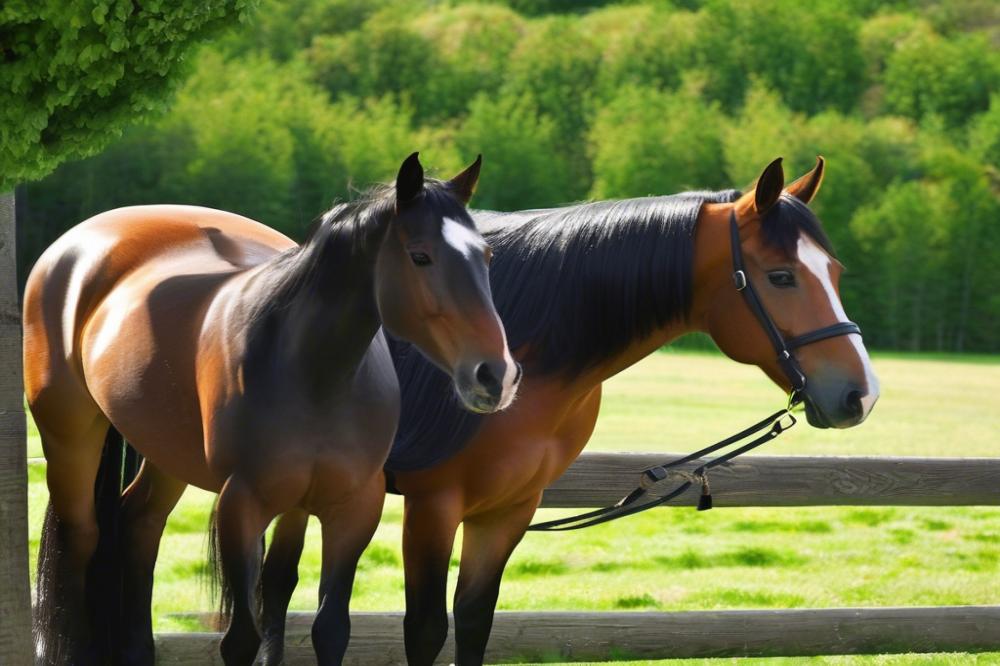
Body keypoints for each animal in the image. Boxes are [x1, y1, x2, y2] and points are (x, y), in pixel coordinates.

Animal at [24, 152, 520, 664]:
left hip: (165, 453)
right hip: (69, 435)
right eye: (420, 255)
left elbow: (331, 629)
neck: (314, 375)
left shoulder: (354, 508)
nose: (495, 375)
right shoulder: (242, 505)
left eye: (485, 256)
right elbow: (242, 637)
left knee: (140, 524)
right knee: (81, 539)